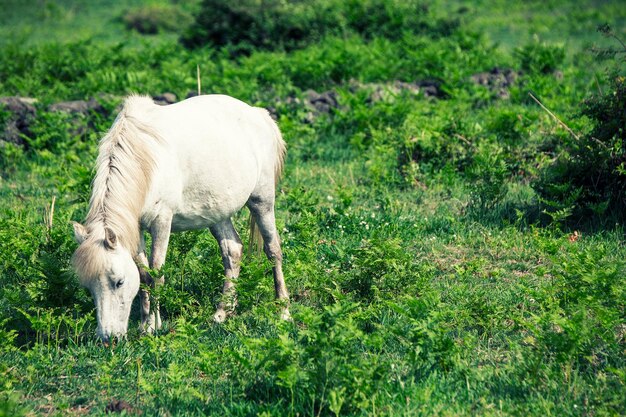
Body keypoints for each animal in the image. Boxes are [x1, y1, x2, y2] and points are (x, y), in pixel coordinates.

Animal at [72, 95, 288, 342]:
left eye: (119, 282)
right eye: (90, 287)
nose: (109, 338)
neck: (145, 159)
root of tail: (260, 115)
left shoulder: (161, 222)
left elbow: (157, 273)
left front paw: (153, 327)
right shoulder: (135, 230)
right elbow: (144, 275)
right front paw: (145, 324)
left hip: (262, 201)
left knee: (273, 250)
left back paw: (283, 310)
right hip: (218, 214)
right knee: (232, 252)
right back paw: (223, 312)